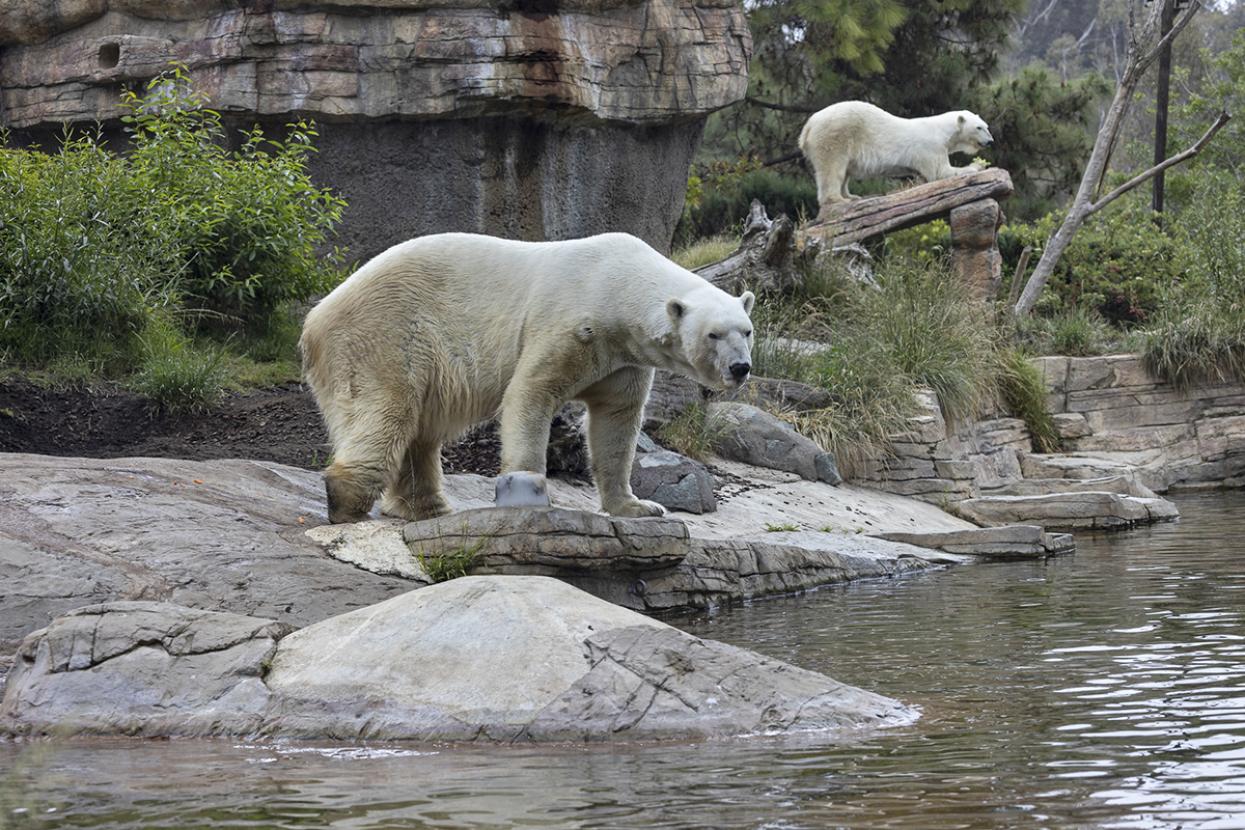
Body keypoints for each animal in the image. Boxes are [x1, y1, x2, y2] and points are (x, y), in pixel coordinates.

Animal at [299, 232, 756, 524]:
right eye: (714, 334)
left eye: (747, 331)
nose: (741, 368)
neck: (614, 283)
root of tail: (314, 321)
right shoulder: (572, 323)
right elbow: (531, 393)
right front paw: (528, 494)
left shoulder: (624, 359)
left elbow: (616, 422)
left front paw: (639, 506)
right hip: (385, 335)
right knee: (387, 411)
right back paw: (346, 499)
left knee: (418, 430)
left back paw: (425, 507)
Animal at [798, 101, 993, 217]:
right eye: (979, 127)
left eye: (986, 126)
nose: (991, 141)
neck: (942, 131)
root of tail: (808, 125)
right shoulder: (931, 147)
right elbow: (940, 172)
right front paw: (976, 166)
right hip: (834, 135)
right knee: (833, 167)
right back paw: (837, 199)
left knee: (845, 170)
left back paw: (852, 196)